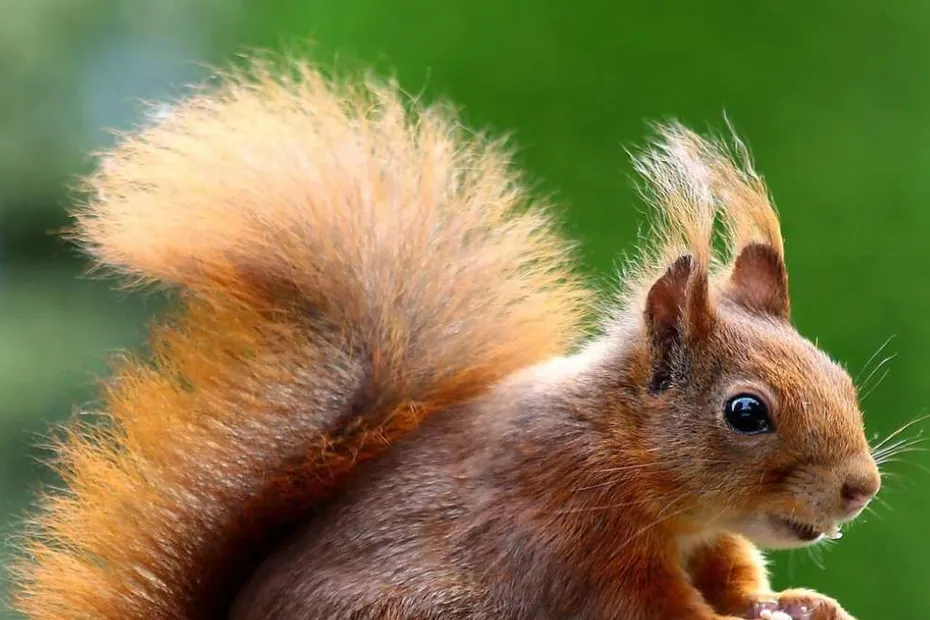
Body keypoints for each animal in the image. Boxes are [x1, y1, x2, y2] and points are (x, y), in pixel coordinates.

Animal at [7, 59, 880, 620]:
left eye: (841, 378)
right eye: (745, 412)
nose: (860, 488)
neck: (623, 449)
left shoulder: (700, 540)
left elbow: (733, 573)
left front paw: (797, 602)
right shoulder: (571, 537)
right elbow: (648, 610)